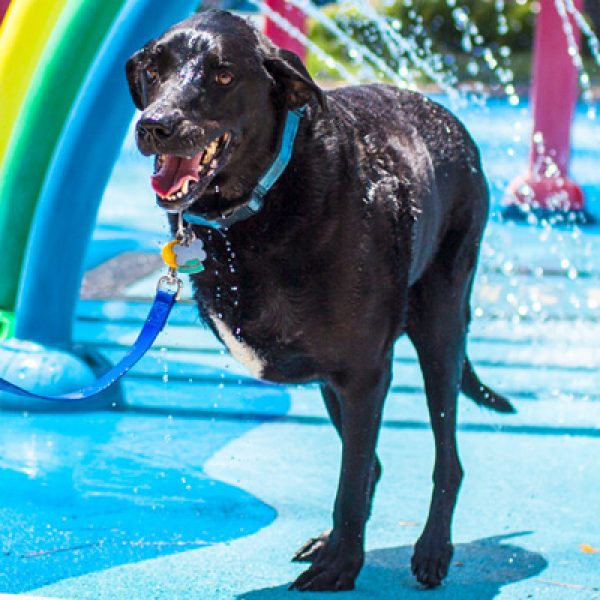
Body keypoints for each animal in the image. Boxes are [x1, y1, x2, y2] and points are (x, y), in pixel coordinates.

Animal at [125, 9, 510, 592]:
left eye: (223, 76)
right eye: (153, 70)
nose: (154, 125)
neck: (263, 201)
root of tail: (448, 117)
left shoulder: (366, 374)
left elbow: (351, 479)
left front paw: (342, 565)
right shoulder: (343, 376)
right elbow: (359, 467)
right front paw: (339, 551)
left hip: (440, 330)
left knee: (445, 457)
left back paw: (432, 550)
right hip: (337, 380)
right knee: (373, 462)